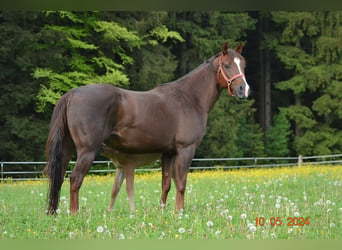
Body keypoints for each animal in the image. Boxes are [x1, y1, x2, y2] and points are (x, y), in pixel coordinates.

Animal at [45, 41, 250, 215]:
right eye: (226, 65)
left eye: (243, 65)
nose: (243, 89)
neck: (189, 98)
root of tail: (73, 93)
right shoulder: (185, 149)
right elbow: (181, 183)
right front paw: (180, 212)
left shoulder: (168, 153)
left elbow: (166, 184)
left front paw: (163, 212)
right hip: (87, 151)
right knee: (75, 179)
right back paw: (74, 213)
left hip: (67, 149)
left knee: (59, 178)